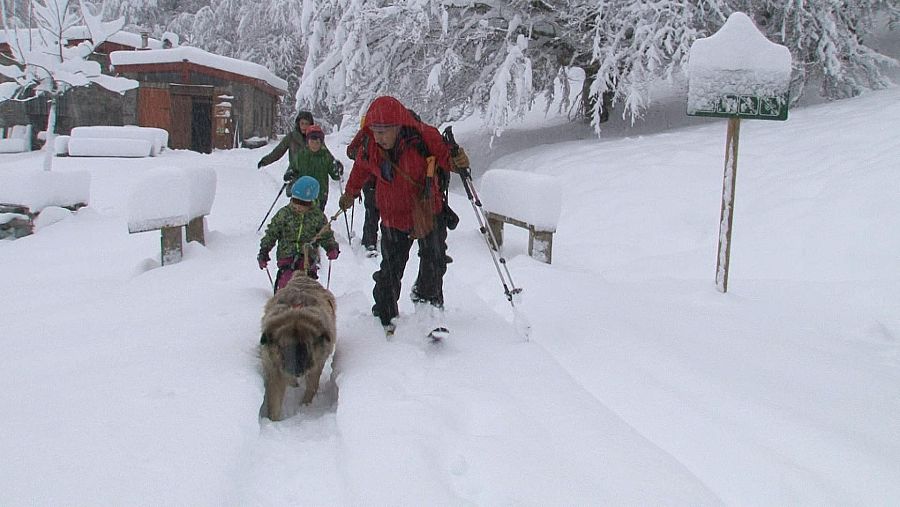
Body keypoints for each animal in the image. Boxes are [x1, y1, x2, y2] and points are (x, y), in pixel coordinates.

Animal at [260, 274, 338, 420]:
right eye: (284, 347)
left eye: (305, 347)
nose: (296, 370)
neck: (296, 313)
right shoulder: (274, 368)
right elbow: (274, 397)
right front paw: (273, 419)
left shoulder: (317, 364)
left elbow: (312, 386)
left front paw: (305, 405)